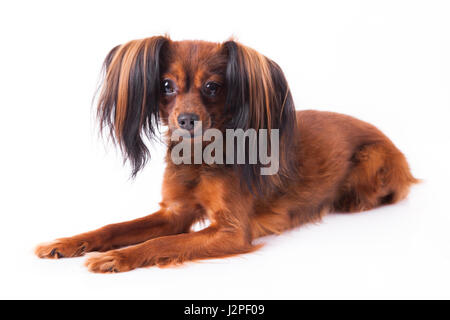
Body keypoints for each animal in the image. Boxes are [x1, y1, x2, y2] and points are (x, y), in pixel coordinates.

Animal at [35, 37, 418, 272]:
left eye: (212, 87)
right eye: (166, 85)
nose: (186, 119)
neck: (200, 157)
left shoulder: (231, 232)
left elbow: (165, 241)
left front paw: (118, 257)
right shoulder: (174, 212)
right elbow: (116, 227)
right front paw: (69, 242)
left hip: (373, 160)